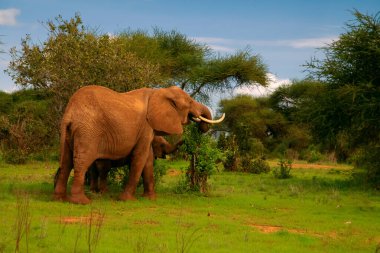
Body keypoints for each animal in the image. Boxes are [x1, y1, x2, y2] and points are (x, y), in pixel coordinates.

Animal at [54, 85, 224, 204]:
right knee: (82, 162)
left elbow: (147, 161)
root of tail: (70, 112)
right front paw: (127, 200)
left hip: (70, 133)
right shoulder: (145, 126)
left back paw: (60, 199)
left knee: (66, 161)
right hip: (88, 132)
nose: (200, 129)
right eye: (189, 102)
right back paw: (82, 202)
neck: (158, 92)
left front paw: (150, 198)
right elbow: (140, 159)